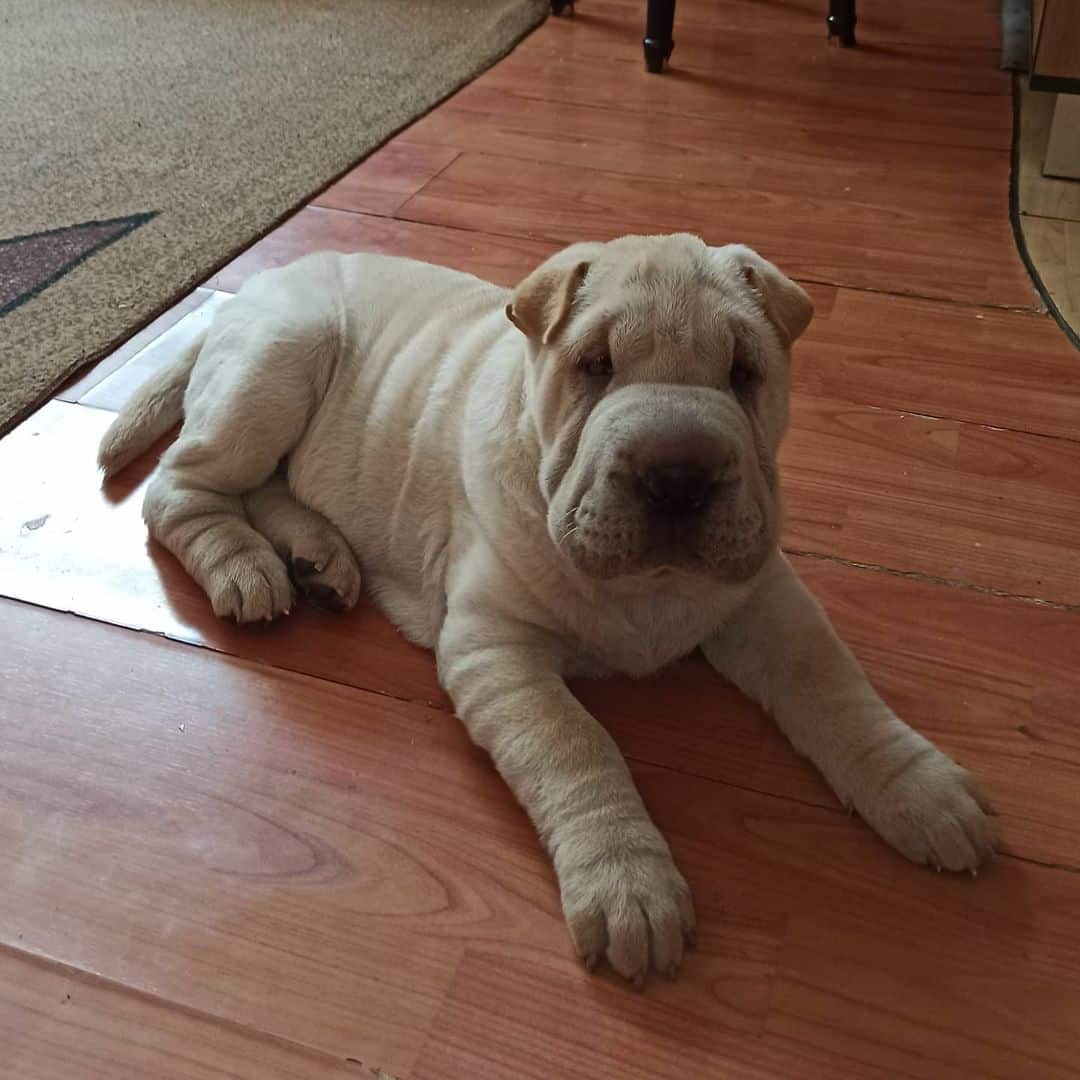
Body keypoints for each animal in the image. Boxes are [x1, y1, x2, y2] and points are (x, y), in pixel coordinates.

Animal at [97, 236, 989, 989]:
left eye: (744, 372)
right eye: (593, 365)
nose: (678, 476)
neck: (647, 590)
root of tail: (248, 294)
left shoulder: (765, 595)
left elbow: (833, 685)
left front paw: (924, 790)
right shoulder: (496, 645)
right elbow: (575, 744)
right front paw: (630, 889)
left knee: (267, 485)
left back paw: (319, 557)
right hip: (277, 368)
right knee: (183, 488)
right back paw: (247, 566)